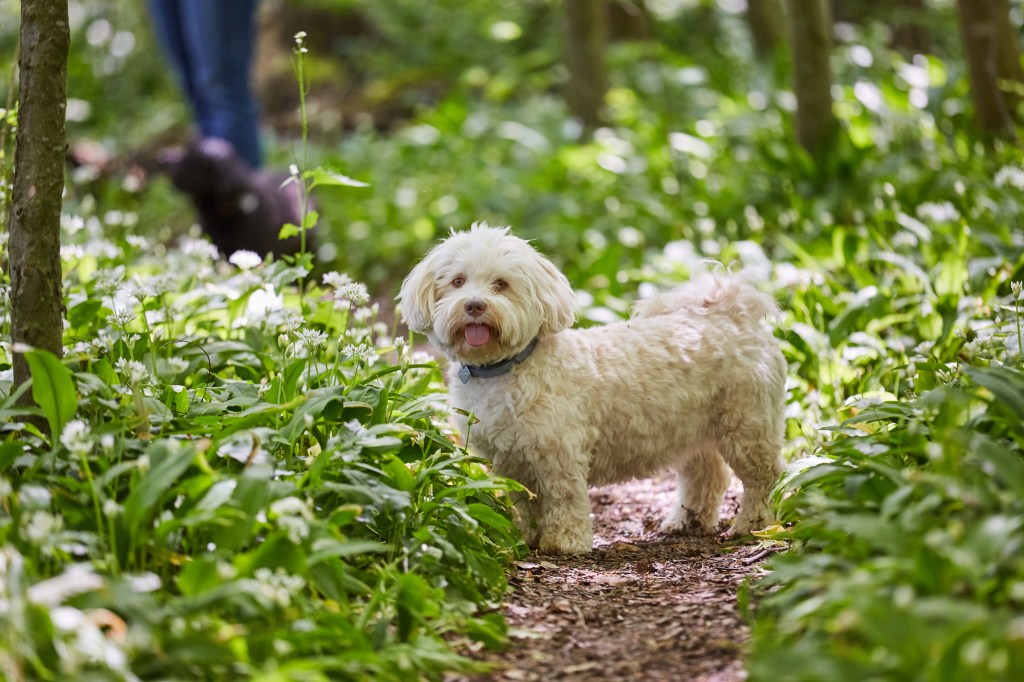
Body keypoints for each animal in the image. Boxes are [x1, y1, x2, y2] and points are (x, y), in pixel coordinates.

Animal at [395, 223, 786, 552]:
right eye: (458, 281)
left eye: (501, 284)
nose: (475, 305)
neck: (505, 367)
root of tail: (733, 313)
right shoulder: (507, 460)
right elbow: (522, 502)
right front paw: (522, 537)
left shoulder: (559, 454)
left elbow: (564, 497)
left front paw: (564, 540)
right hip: (692, 429)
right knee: (706, 475)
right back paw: (686, 521)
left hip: (746, 427)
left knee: (764, 478)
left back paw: (753, 524)